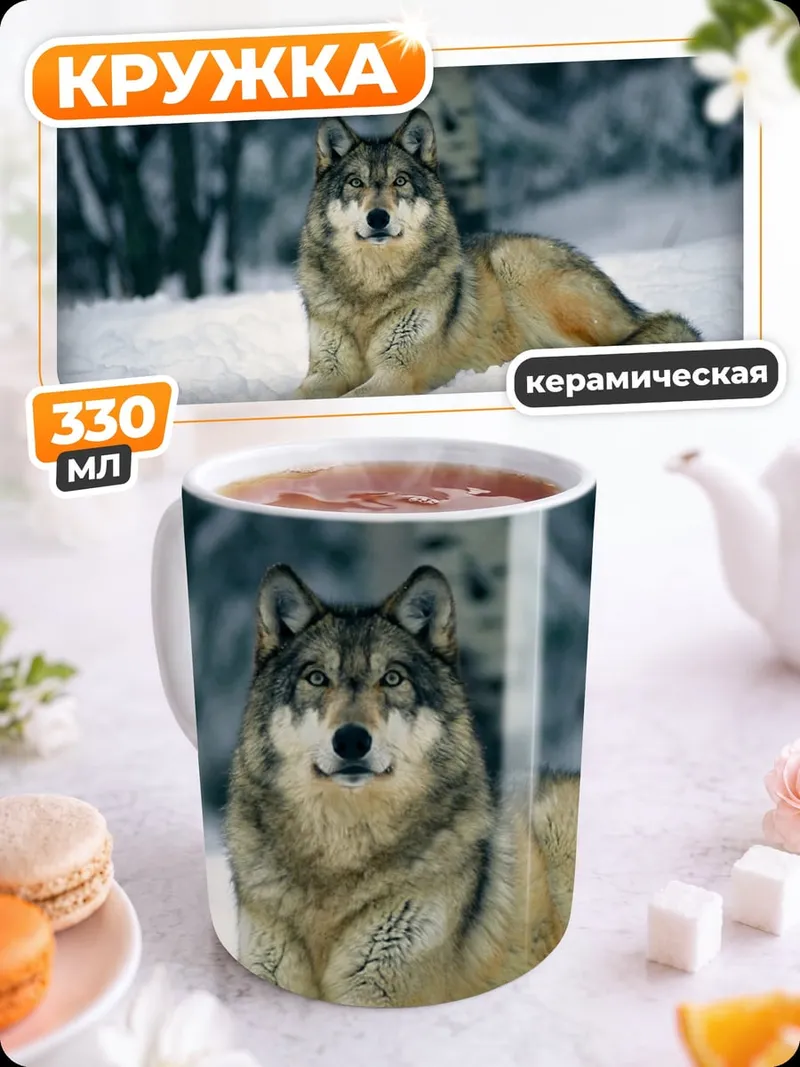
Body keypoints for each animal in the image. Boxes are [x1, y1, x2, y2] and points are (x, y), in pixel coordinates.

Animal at [225, 563, 580, 1007]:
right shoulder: (266, 965)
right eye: (317, 678)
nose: (352, 740)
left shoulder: (381, 990)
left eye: (392, 678)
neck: (340, 853)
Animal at [294, 108, 701, 400]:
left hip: (517, 266)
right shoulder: (326, 371)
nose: (378, 217)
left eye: (400, 182)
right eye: (355, 183)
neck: (370, 289)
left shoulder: (397, 372)